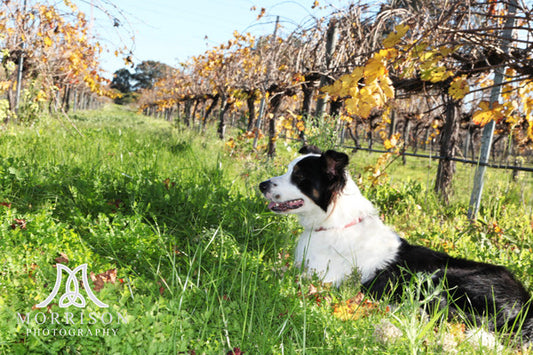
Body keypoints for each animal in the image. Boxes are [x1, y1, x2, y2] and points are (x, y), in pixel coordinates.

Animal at [260, 146, 532, 340]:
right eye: (288, 170)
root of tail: (524, 304)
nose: (261, 185)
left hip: (439, 276)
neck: (335, 222)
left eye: (299, 176)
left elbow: (276, 272)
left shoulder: (322, 279)